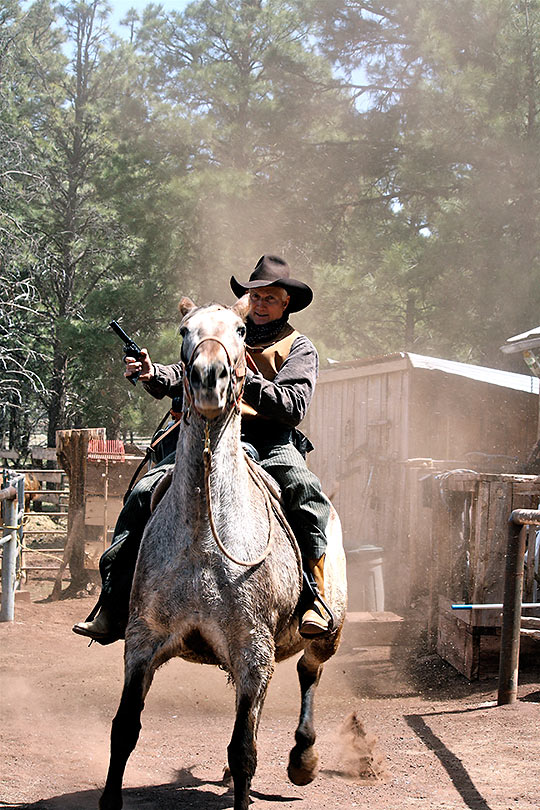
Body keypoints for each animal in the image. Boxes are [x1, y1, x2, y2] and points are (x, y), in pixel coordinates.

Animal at [99, 296, 348, 808]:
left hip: (327, 634)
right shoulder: (142, 643)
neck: (205, 535)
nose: (208, 377)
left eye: (239, 329)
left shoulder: (252, 652)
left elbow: (244, 749)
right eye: (184, 330)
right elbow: (125, 730)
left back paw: (303, 759)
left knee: (309, 672)